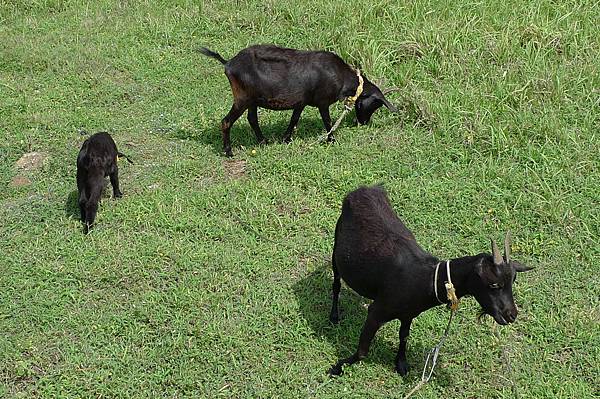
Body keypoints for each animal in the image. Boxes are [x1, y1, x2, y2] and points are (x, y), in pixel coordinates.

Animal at [202, 43, 398, 156]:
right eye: (374, 104)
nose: (363, 122)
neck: (342, 77)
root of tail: (228, 63)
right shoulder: (322, 102)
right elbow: (327, 121)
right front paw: (332, 140)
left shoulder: (301, 101)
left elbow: (294, 119)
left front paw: (286, 139)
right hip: (242, 98)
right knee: (226, 121)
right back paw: (228, 151)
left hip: (252, 100)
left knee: (252, 119)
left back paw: (263, 141)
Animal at [330, 186, 532, 376]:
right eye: (493, 284)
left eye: (512, 281)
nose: (512, 315)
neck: (425, 279)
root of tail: (363, 189)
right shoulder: (377, 312)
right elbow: (363, 351)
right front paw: (338, 367)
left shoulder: (408, 314)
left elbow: (404, 336)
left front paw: (401, 364)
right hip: (336, 247)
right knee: (336, 283)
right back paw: (334, 316)